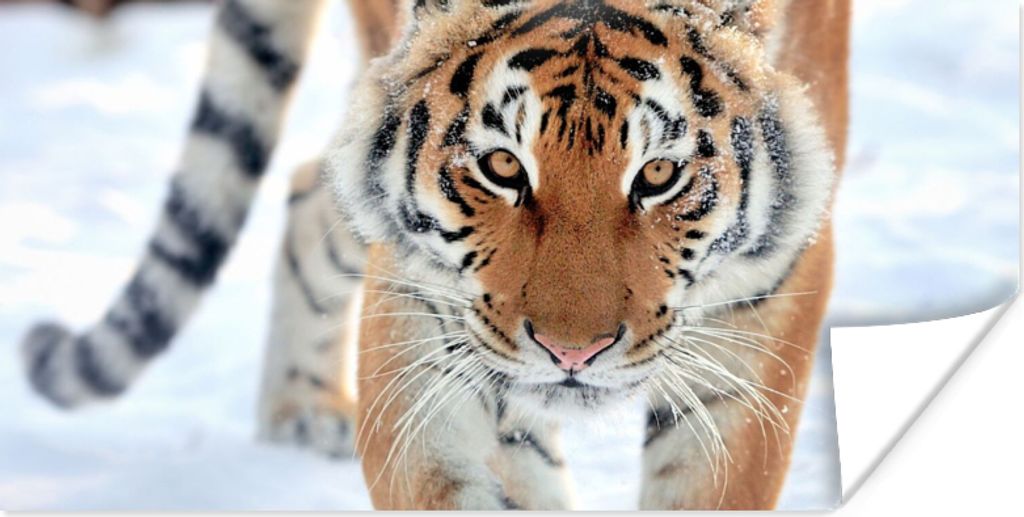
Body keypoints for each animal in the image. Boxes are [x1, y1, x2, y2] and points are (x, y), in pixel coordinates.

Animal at [20, 0, 850, 510]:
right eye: (504, 166)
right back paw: (300, 411)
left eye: (657, 175)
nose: (571, 353)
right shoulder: (427, 308)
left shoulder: (769, 294)